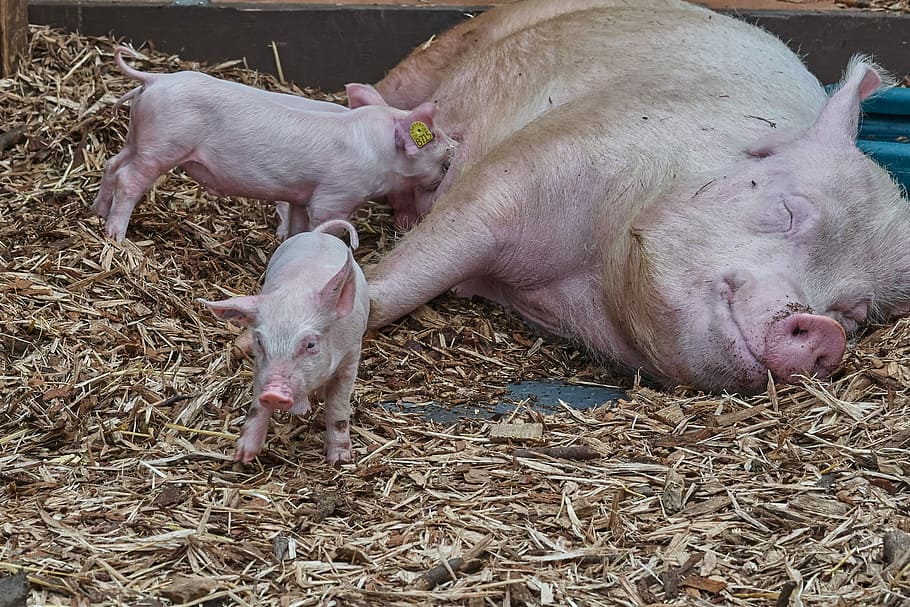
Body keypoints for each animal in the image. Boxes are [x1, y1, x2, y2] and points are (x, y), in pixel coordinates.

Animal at [92, 45, 455, 241]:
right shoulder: (335, 195)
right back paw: (116, 236)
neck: (376, 153)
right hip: (163, 145)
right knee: (129, 178)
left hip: (138, 136)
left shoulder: (301, 194)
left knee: (112, 164)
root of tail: (156, 78)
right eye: (434, 139)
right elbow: (324, 223)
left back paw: (96, 213)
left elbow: (297, 223)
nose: (454, 147)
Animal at [199, 219, 369, 465]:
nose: (273, 393)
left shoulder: (351, 356)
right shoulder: (261, 367)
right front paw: (242, 457)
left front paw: (339, 461)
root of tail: (318, 234)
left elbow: (338, 409)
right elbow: (256, 407)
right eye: (260, 341)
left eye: (310, 344)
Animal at [363, 0, 910, 395]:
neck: (587, 282)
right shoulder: (535, 163)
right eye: (788, 212)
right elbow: (411, 273)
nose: (823, 330)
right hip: (448, 48)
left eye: (853, 312)